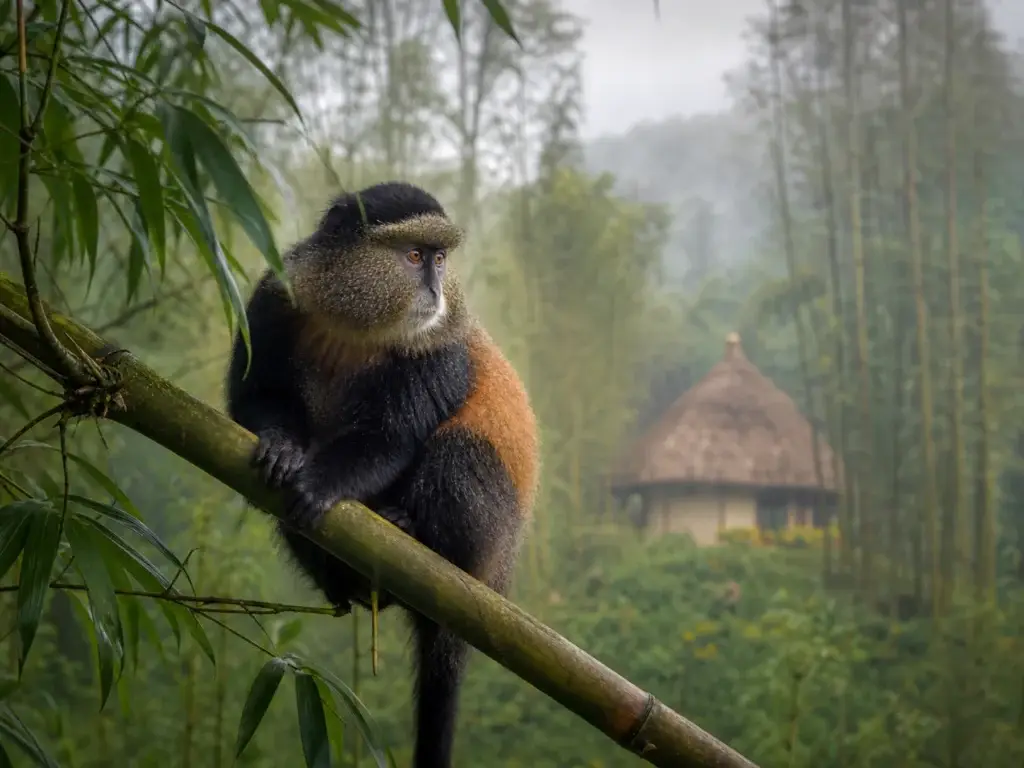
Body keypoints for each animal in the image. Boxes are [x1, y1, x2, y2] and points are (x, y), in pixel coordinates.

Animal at [224, 181, 539, 768]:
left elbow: (388, 438)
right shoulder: (275, 297)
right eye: (414, 256)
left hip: (485, 537)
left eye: (440, 259)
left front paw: (319, 484)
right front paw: (281, 448)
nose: (436, 292)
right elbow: (254, 394)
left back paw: (412, 532)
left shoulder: (436, 351)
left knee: (457, 452)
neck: (355, 322)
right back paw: (343, 583)